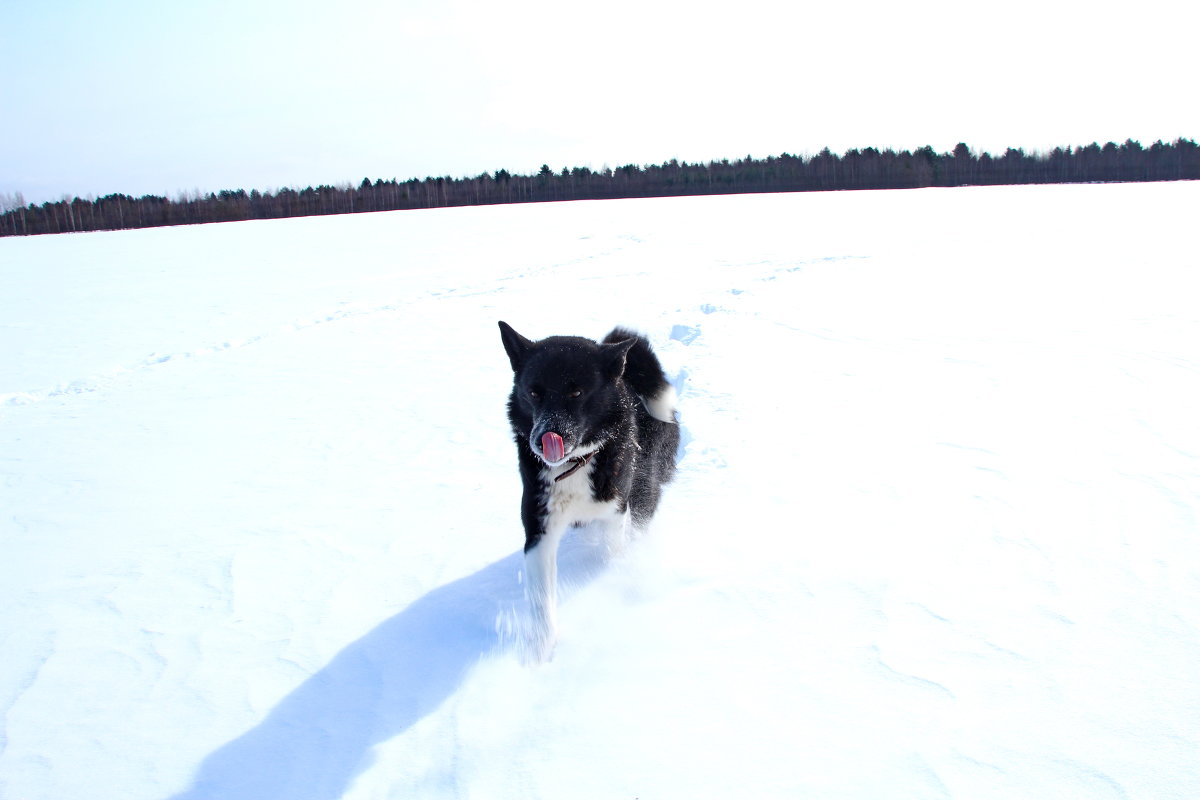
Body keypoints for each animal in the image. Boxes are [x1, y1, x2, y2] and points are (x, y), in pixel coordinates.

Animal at [499, 321, 686, 662]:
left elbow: (612, 554)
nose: (544, 437)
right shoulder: (539, 525)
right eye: (533, 392)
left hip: (644, 489)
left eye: (576, 392)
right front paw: (541, 652)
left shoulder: (615, 512)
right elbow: (540, 596)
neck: (574, 465)